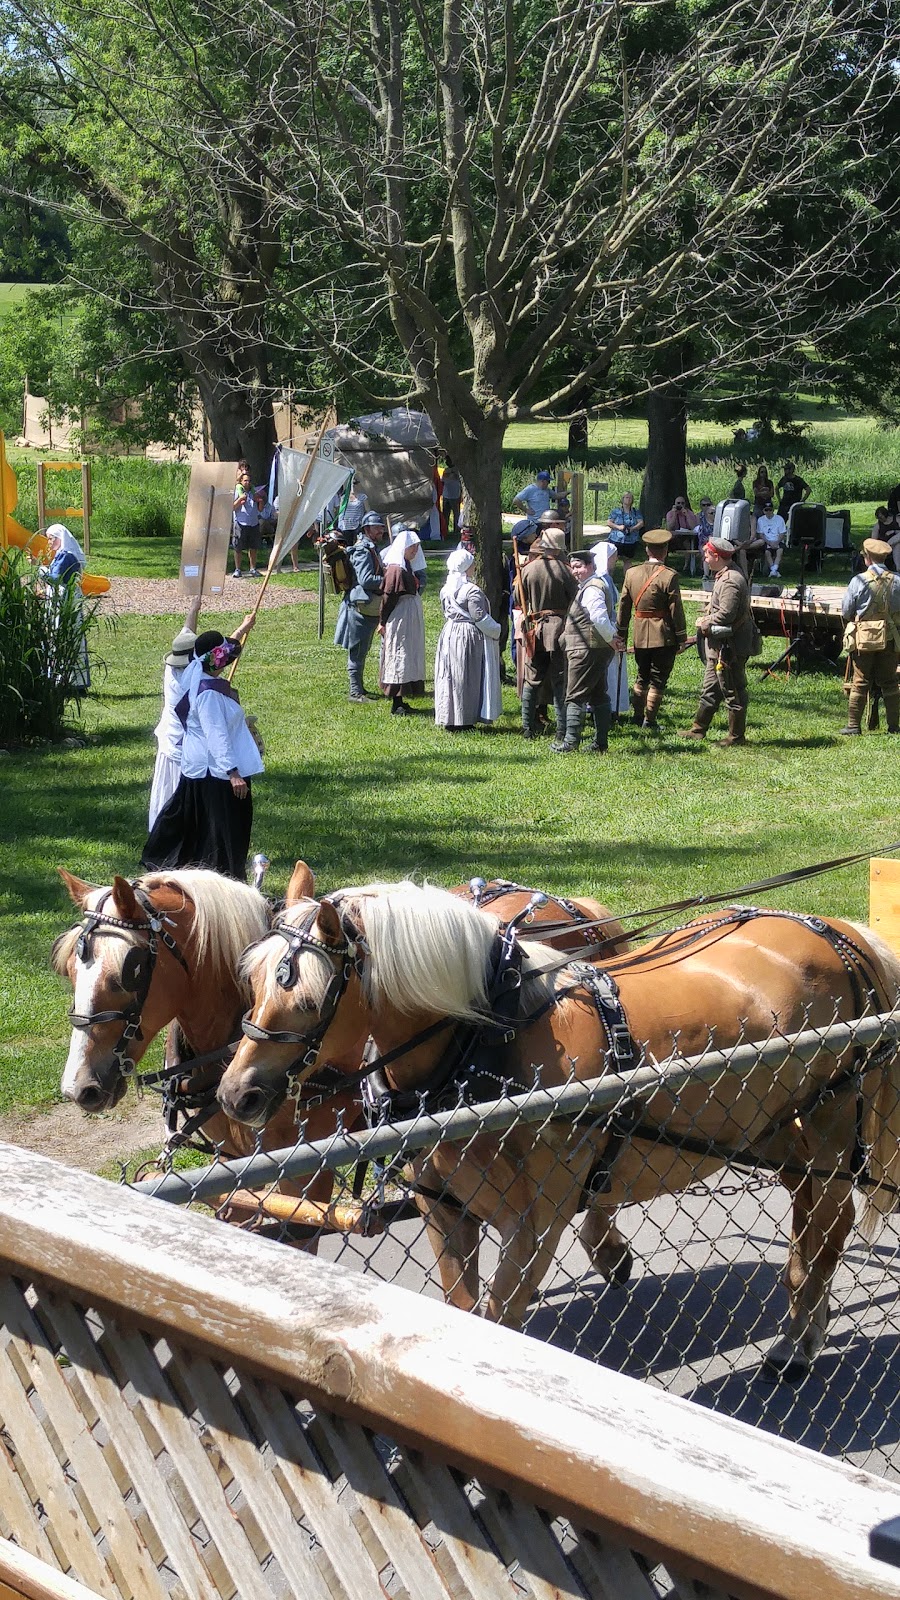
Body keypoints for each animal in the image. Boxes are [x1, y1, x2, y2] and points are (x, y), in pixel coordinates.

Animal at [217, 883, 896, 1369]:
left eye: (310, 999)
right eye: (248, 984)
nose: (236, 1094)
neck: (488, 1044)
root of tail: (839, 932)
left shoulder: (537, 1222)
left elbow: (501, 1319)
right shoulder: (444, 1209)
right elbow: (464, 1308)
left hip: (833, 1120)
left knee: (830, 1222)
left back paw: (800, 1343)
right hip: (776, 1127)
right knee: (808, 1215)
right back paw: (802, 1326)